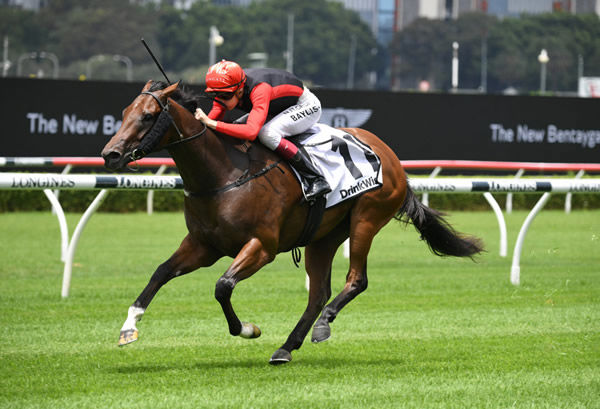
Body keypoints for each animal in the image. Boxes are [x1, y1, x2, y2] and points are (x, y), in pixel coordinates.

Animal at [99, 80, 482, 364]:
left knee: (355, 280)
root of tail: (390, 155)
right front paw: (129, 326)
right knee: (318, 293)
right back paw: (287, 347)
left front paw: (248, 329)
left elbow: (223, 286)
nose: (110, 154)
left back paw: (323, 325)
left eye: (148, 116)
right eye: (124, 112)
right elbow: (161, 272)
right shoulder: (203, 245)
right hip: (323, 237)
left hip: (366, 219)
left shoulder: (262, 246)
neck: (224, 175)